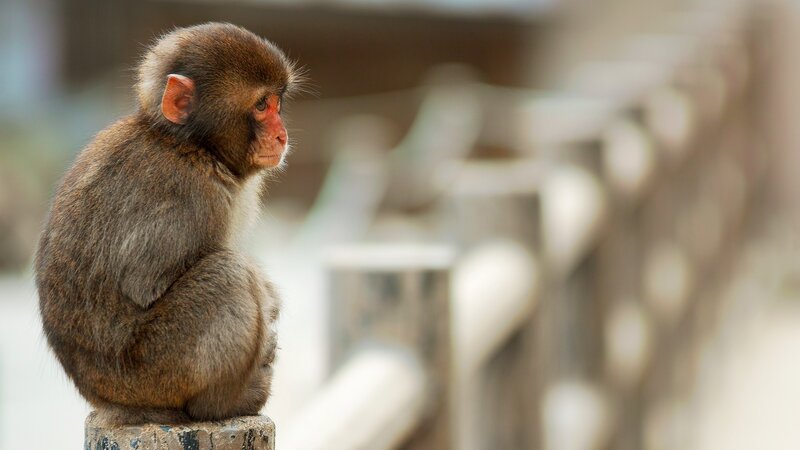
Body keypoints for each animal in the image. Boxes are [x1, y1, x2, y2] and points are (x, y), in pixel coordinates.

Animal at [34, 23, 303, 425]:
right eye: (261, 105)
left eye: (277, 103)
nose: (281, 134)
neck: (190, 146)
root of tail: (106, 400)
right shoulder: (190, 196)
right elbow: (144, 284)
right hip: (155, 372)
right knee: (228, 274)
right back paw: (224, 404)